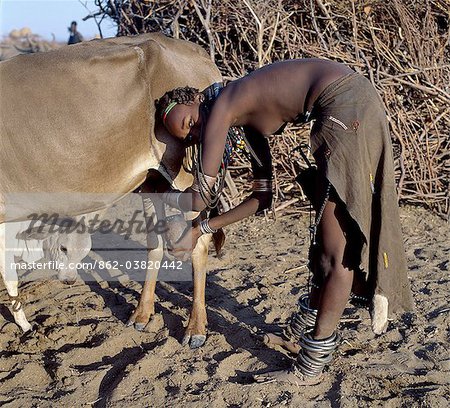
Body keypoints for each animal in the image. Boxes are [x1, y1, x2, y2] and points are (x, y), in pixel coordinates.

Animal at [0, 33, 221, 348]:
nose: (68, 279)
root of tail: (197, 51)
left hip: (189, 176)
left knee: (199, 245)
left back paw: (195, 327)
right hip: (152, 180)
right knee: (155, 243)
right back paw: (141, 313)